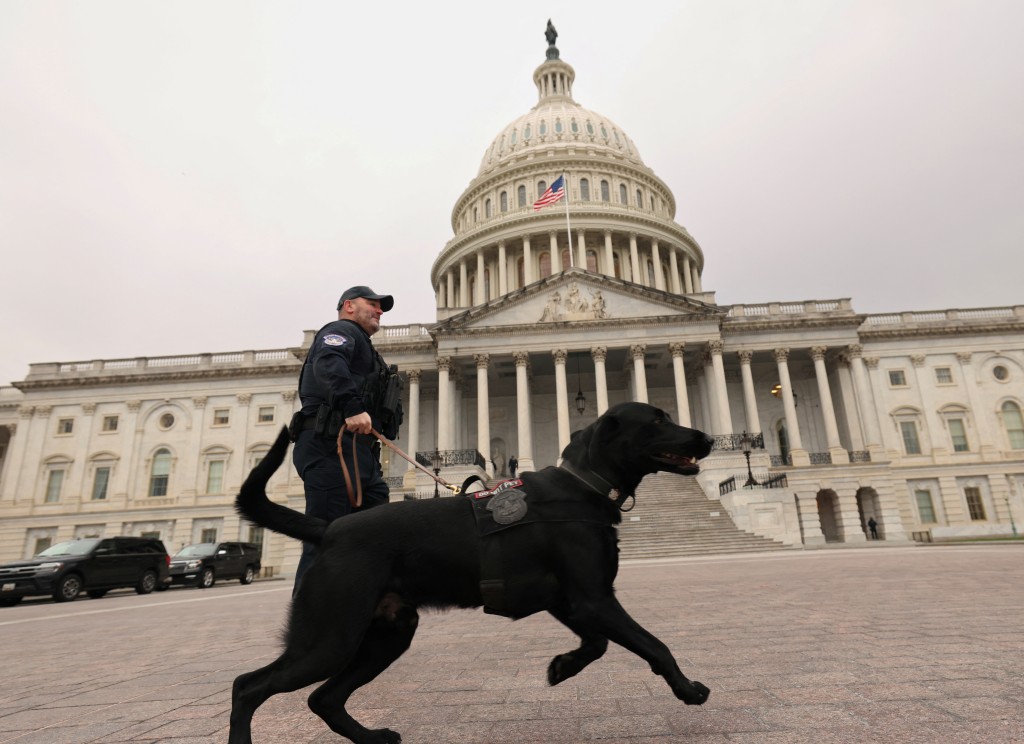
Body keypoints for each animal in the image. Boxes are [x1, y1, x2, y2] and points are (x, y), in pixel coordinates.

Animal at [230, 405, 712, 740]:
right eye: (658, 419)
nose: (708, 438)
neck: (582, 485)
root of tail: (329, 527)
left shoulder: (572, 601)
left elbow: (597, 645)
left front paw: (563, 667)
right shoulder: (594, 599)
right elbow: (655, 645)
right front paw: (688, 689)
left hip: (386, 635)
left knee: (323, 698)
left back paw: (372, 737)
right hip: (331, 639)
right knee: (248, 686)